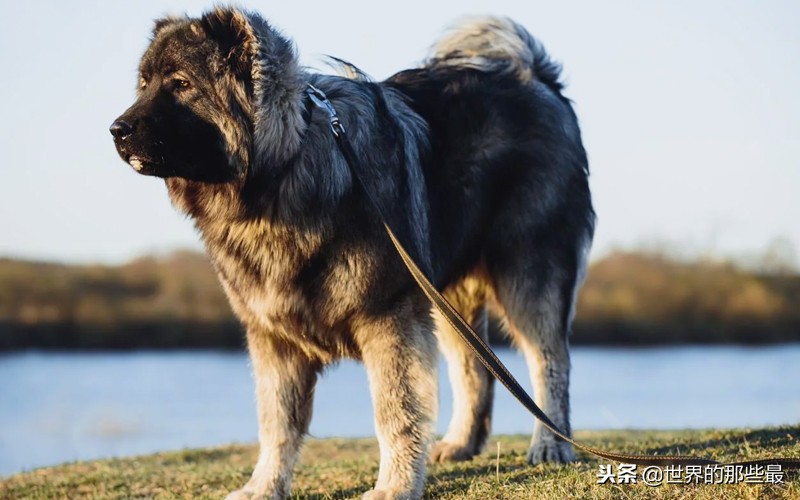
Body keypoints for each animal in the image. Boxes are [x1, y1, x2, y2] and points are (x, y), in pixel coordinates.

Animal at [109, 5, 592, 498]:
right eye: (144, 84)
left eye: (180, 84)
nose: (116, 130)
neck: (281, 179)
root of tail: (536, 76)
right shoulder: (274, 338)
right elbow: (276, 422)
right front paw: (265, 486)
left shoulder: (389, 318)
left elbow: (396, 412)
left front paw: (394, 486)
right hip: (445, 295)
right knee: (475, 369)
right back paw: (462, 443)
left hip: (527, 272)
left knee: (549, 361)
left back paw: (551, 444)